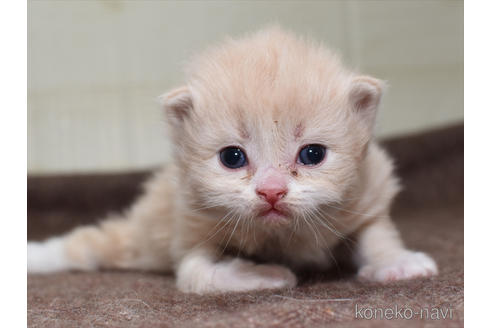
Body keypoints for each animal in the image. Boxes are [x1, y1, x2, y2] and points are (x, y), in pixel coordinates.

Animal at [26, 27, 436, 294]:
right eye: (232, 157)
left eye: (312, 154)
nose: (272, 192)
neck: (281, 236)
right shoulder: (189, 228)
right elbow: (199, 274)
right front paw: (266, 275)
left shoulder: (368, 194)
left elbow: (378, 234)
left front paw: (399, 263)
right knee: (86, 246)